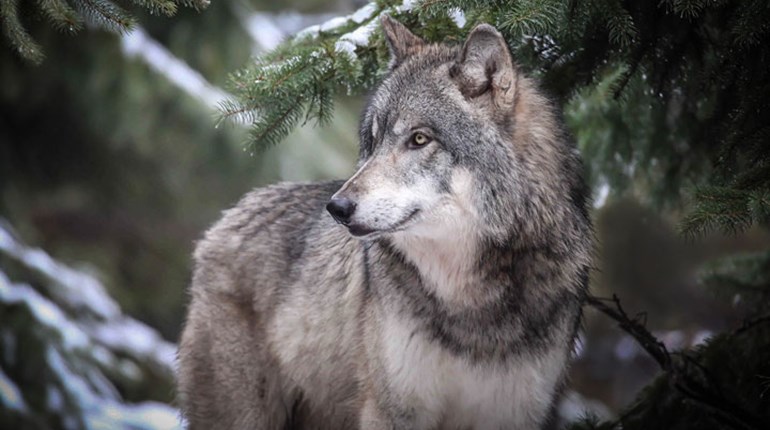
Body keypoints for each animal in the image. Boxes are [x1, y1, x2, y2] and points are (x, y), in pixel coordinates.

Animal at [177, 16, 592, 430]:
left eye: (419, 139)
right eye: (373, 141)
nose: (337, 207)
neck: (471, 303)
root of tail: (228, 217)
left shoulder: (513, 412)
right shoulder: (393, 410)